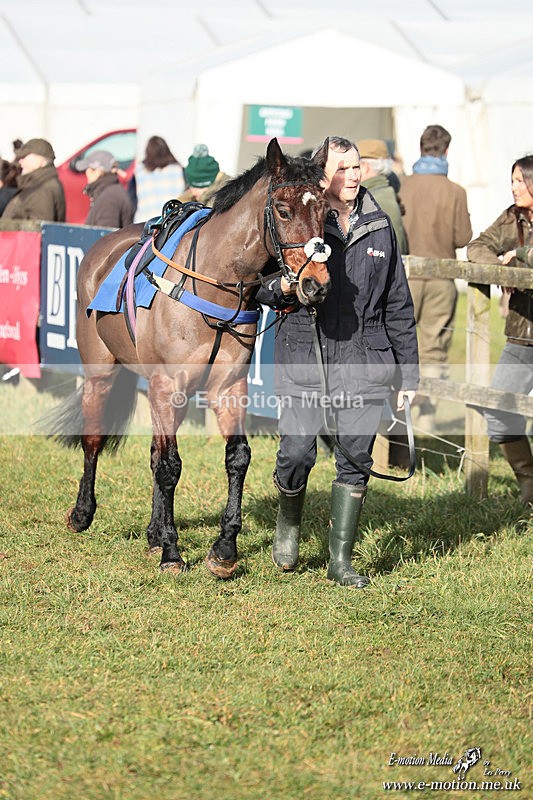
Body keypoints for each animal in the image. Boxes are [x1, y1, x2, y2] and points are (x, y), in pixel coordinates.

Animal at [45, 138, 331, 579]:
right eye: (283, 210)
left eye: (327, 210)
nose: (316, 285)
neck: (215, 283)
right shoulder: (170, 385)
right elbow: (169, 466)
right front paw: (171, 551)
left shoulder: (228, 387)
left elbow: (236, 457)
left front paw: (224, 549)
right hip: (100, 372)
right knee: (93, 439)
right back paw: (83, 513)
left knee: (152, 453)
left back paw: (151, 533)